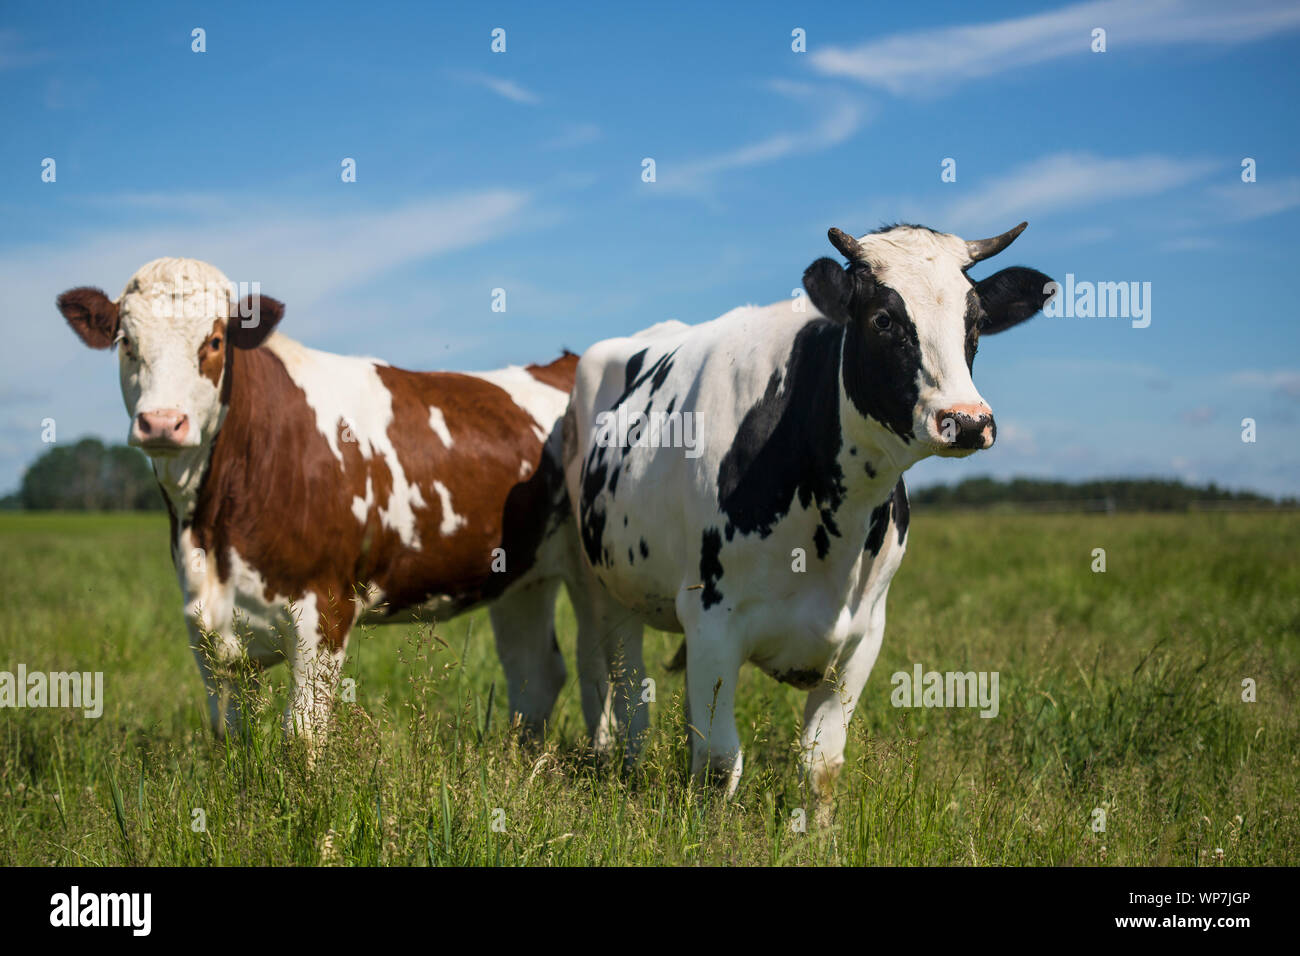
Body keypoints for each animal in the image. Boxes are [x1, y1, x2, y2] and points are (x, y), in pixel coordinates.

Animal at [57, 257, 633, 752]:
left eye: (216, 340)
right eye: (125, 342)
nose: (162, 423)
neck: (213, 527)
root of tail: (563, 362)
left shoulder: (326, 607)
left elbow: (301, 739)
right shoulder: (205, 626)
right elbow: (231, 738)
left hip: (592, 574)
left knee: (602, 668)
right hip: (522, 575)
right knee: (536, 671)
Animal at [564, 222, 1054, 801]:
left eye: (974, 322)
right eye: (883, 319)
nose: (969, 420)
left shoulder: (864, 635)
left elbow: (821, 765)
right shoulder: (711, 616)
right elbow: (719, 764)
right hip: (598, 581)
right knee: (621, 687)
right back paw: (621, 761)